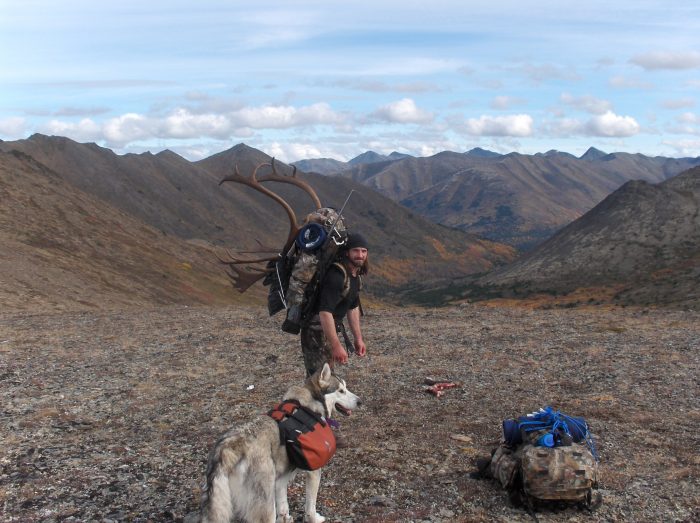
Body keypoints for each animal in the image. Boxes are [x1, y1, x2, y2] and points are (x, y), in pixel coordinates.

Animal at [198, 364, 358, 523]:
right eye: (341, 391)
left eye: (345, 387)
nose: (360, 401)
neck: (310, 404)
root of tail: (227, 447)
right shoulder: (313, 472)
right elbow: (310, 505)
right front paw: (313, 518)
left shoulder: (281, 478)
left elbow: (283, 505)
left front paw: (285, 518)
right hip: (266, 504)